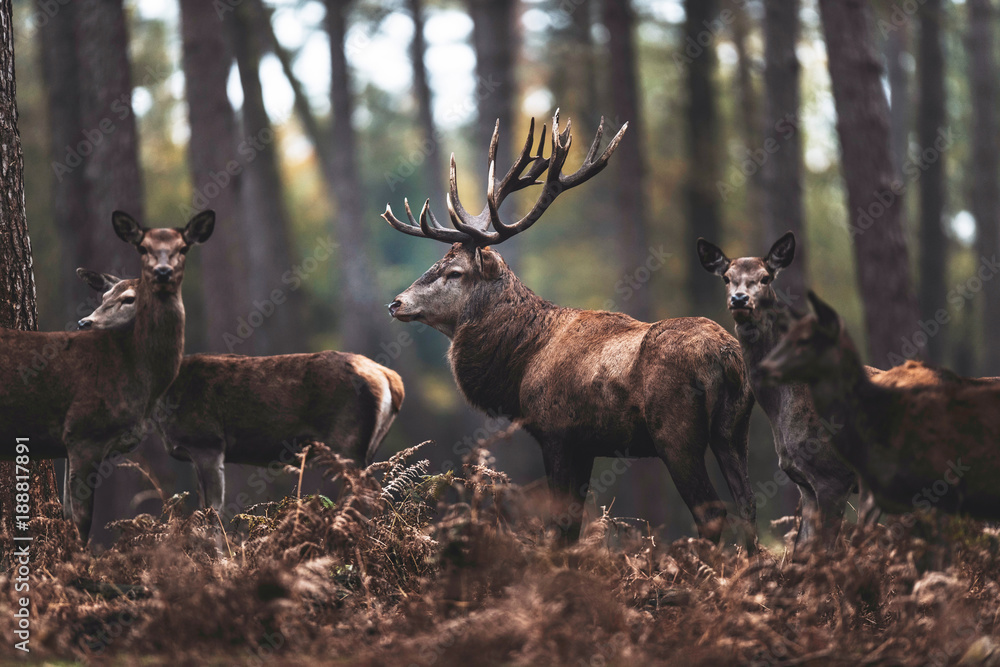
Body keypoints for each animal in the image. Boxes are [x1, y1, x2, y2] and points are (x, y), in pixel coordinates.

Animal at [0, 210, 214, 541]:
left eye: (129, 299)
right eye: (103, 296)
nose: (84, 322)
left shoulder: (70, 441)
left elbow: (68, 515)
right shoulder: (84, 431)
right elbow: (81, 522)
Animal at [76, 270, 404, 514]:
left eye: (129, 299)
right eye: (103, 296)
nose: (84, 322)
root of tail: (389, 378)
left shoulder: (207, 442)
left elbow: (213, 512)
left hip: (346, 440)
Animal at [381, 111, 757, 547]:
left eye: (455, 272)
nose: (396, 303)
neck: (521, 366)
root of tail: (726, 358)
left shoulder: (557, 433)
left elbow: (561, 526)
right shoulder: (586, 445)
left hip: (675, 432)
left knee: (711, 512)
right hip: (735, 429)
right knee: (748, 506)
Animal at [697, 233, 883, 548]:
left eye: (765, 277)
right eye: (726, 277)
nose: (740, 299)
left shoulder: (834, 476)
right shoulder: (805, 484)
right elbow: (801, 551)